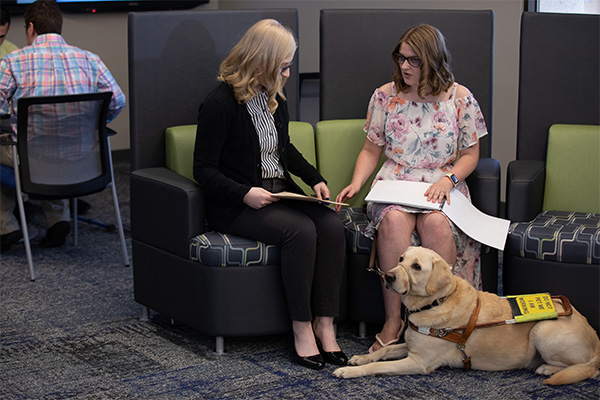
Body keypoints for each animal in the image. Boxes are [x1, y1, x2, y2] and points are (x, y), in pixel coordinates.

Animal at [332, 247, 600, 384]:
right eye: (400, 259)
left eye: (416, 267)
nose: (387, 276)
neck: (436, 301)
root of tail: (596, 340)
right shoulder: (412, 344)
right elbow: (385, 351)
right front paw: (360, 358)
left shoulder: (419, 361)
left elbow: (379, 366)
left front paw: (350, 371)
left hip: (543, 330)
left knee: (586, 369)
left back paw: (547, 369)